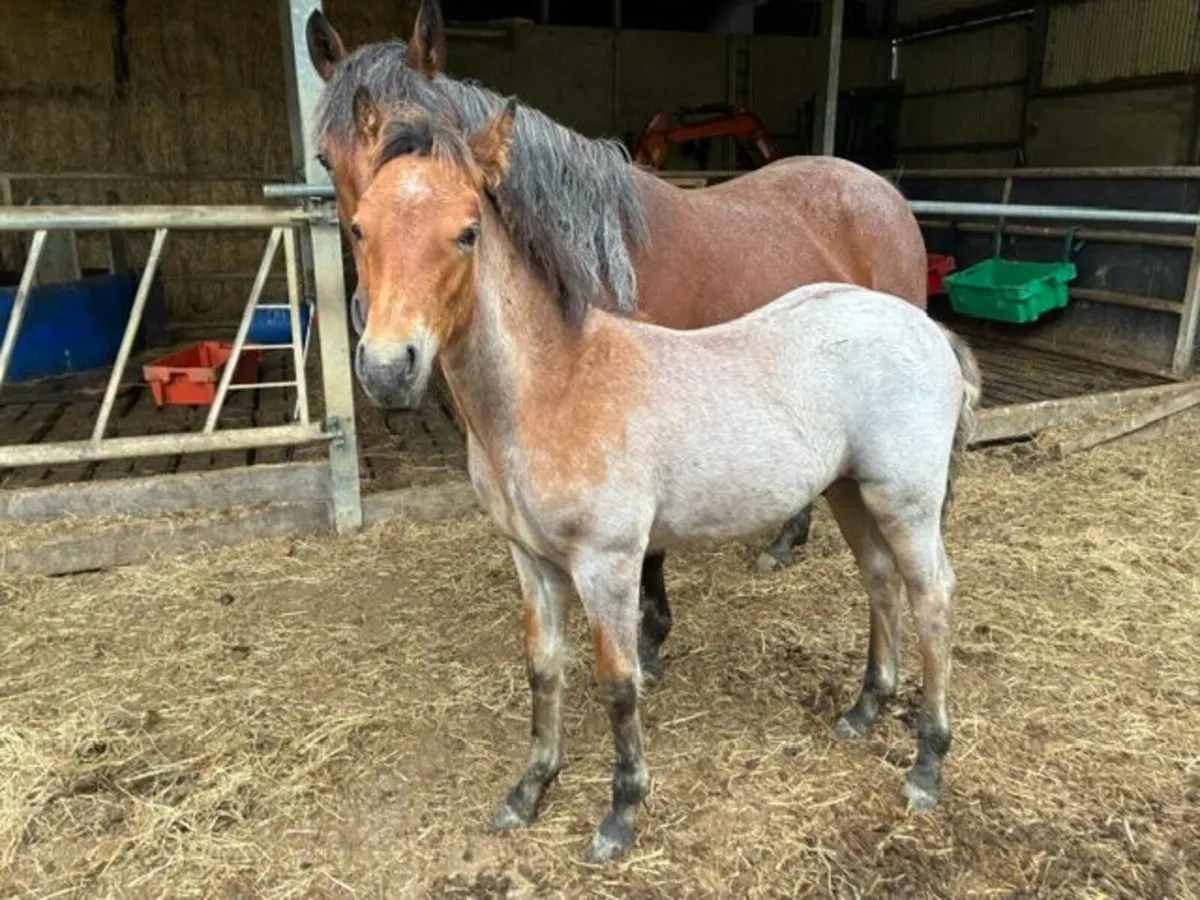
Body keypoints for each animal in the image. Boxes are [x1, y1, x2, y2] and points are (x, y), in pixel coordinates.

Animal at [304, 0, 931, 688]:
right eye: (327, 160)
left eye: (436, 141)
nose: (384, 357)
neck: (592, 256)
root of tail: (883, 191)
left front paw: (649, 640)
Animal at [347, 91, 980, 862]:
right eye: (359, 226)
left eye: (467, 233)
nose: (387, 369)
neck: (555, 387)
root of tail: (928, 329)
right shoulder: (532, 561)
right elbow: (543, 669)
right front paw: (529, 791)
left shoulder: (608, 562)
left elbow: (619, 684)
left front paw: (620, 814)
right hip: (849, 492)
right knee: (880, 582)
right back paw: (864, 709)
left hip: (906, 501)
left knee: (933, 600)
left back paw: (927, 765)